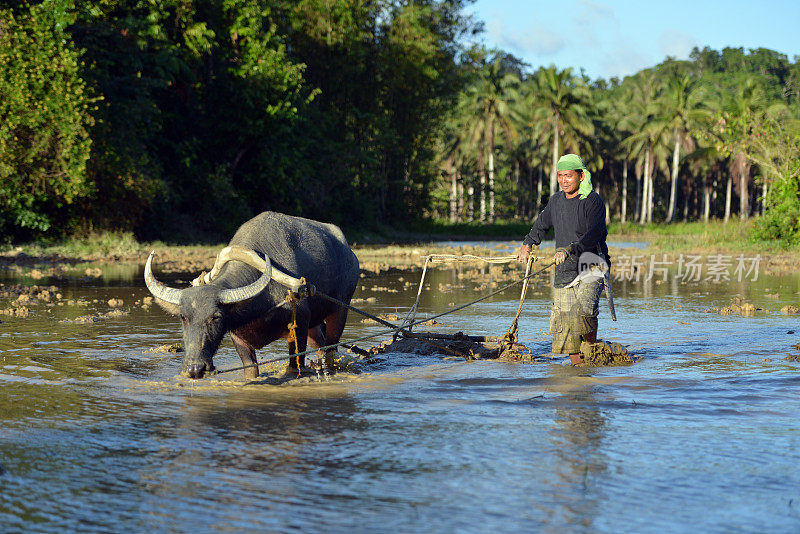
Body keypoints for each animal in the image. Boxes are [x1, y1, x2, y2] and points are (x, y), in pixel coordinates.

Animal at [144, 211, 360, 378]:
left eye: (216, 317)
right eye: (183, 317)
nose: (195, 369)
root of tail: (349, 253)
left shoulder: (299, 323)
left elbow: (295, 364)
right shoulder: (238, 336)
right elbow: (250, 369)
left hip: (340, 308)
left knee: (331, 348)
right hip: (315, 324)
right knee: (320, 345)